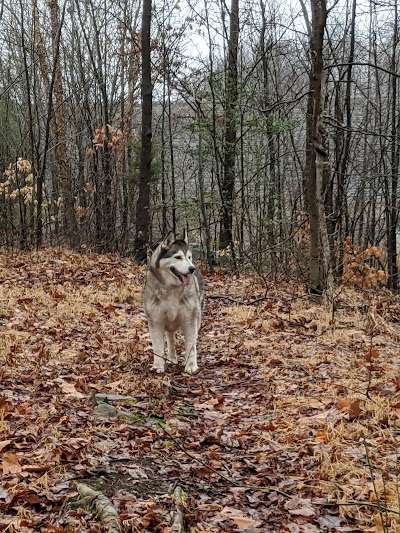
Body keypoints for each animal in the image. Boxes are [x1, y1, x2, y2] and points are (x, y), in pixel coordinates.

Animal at [143, 230, 205, 374]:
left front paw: (191, 365)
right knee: (170, 339)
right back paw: (172, 358)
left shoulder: (190, 320)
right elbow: (158, 347)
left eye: (189, 257)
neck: (171, 289)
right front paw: (158, 366)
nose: (191, 269)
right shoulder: (156, 321)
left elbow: (190, 345)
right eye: (177, 257)